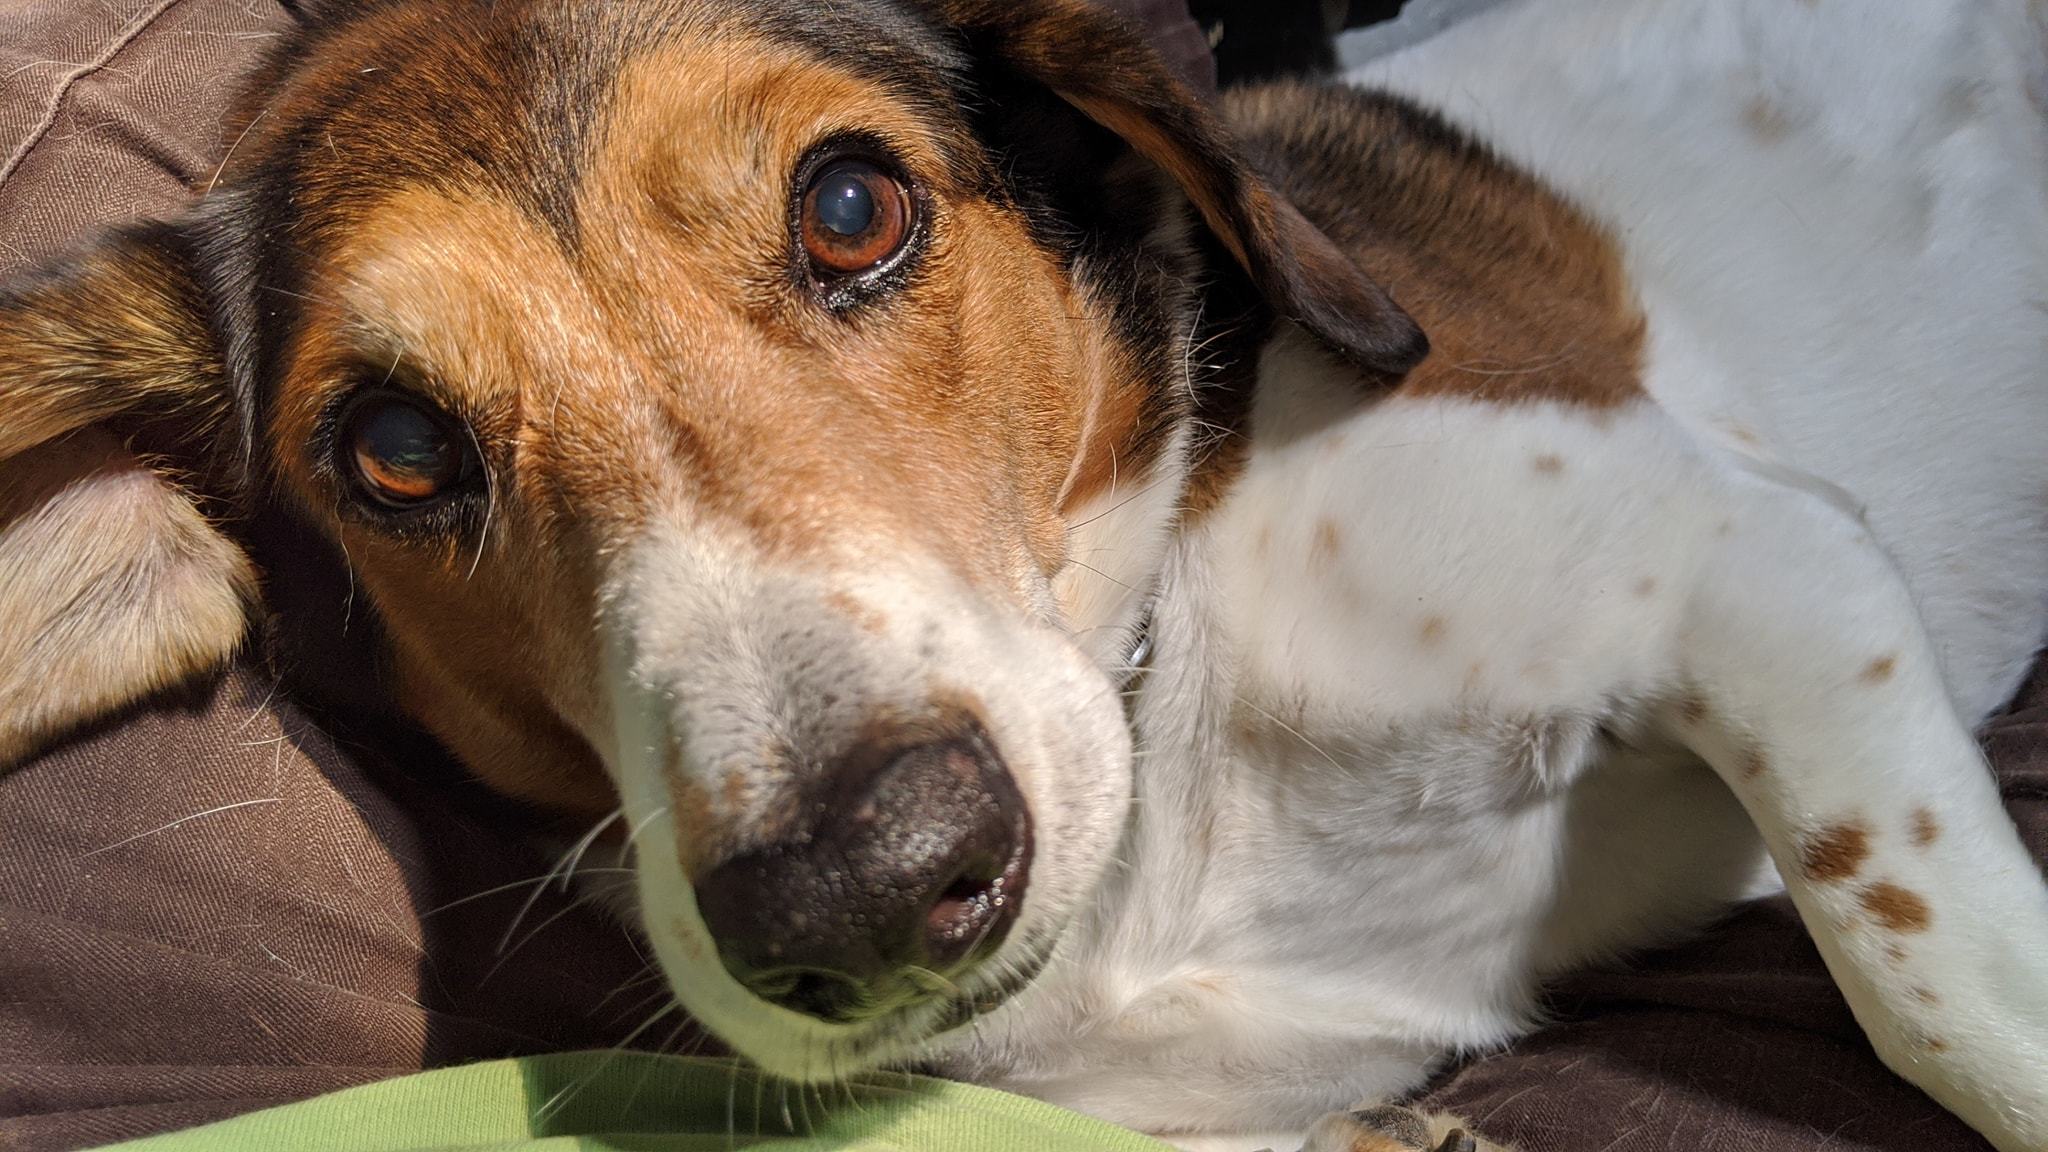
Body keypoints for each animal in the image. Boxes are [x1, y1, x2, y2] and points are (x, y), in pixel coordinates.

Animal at [4, 2, 2048, 1147]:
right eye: (397, 449)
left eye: (851, 206)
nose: (857, 885)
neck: (1180, 791)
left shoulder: (1754, 568)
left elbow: (1945, 1005)